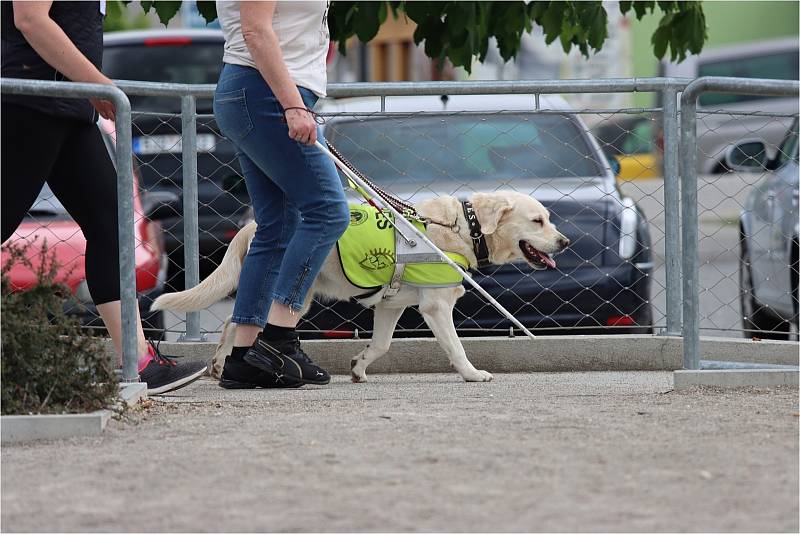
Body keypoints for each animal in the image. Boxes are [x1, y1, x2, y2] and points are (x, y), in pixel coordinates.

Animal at [150, 191, 568, 384]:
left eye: (548, 219)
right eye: (537, 221)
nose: (564, 242)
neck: (464, 228)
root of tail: (254, 226)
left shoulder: (391, 306)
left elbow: (380, 345)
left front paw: (358, 367)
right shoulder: (435, 308)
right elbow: (456, 346)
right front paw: (472, 374)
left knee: (234, 322)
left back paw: (223, 367)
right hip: (293, 295)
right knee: (237, 323)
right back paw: (233, 366)